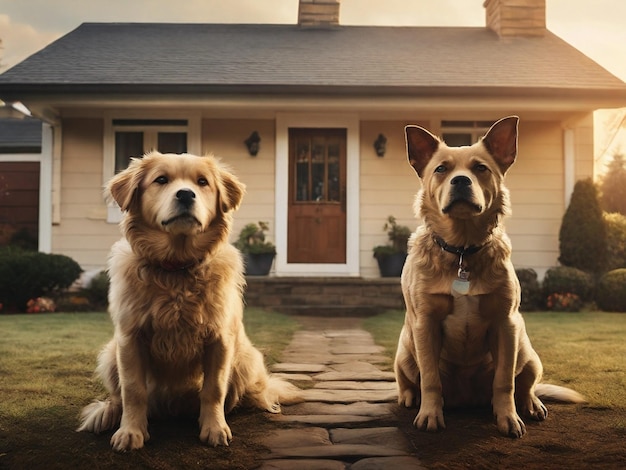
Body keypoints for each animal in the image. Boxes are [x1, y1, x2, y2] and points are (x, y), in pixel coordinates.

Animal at [392, 116, 584, 436]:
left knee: (525, 385)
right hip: (405, 350)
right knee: (408, 380)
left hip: (526, 350)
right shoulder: (425, 324)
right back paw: (409, 398)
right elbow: (430, 379)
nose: (460, 180)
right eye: (441, 169)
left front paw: (508, 418)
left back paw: (531, 405)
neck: (462, 250)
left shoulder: (506, 323)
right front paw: (430, 414)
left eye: (480, 168)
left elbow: (504, 382)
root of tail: (466, 398)